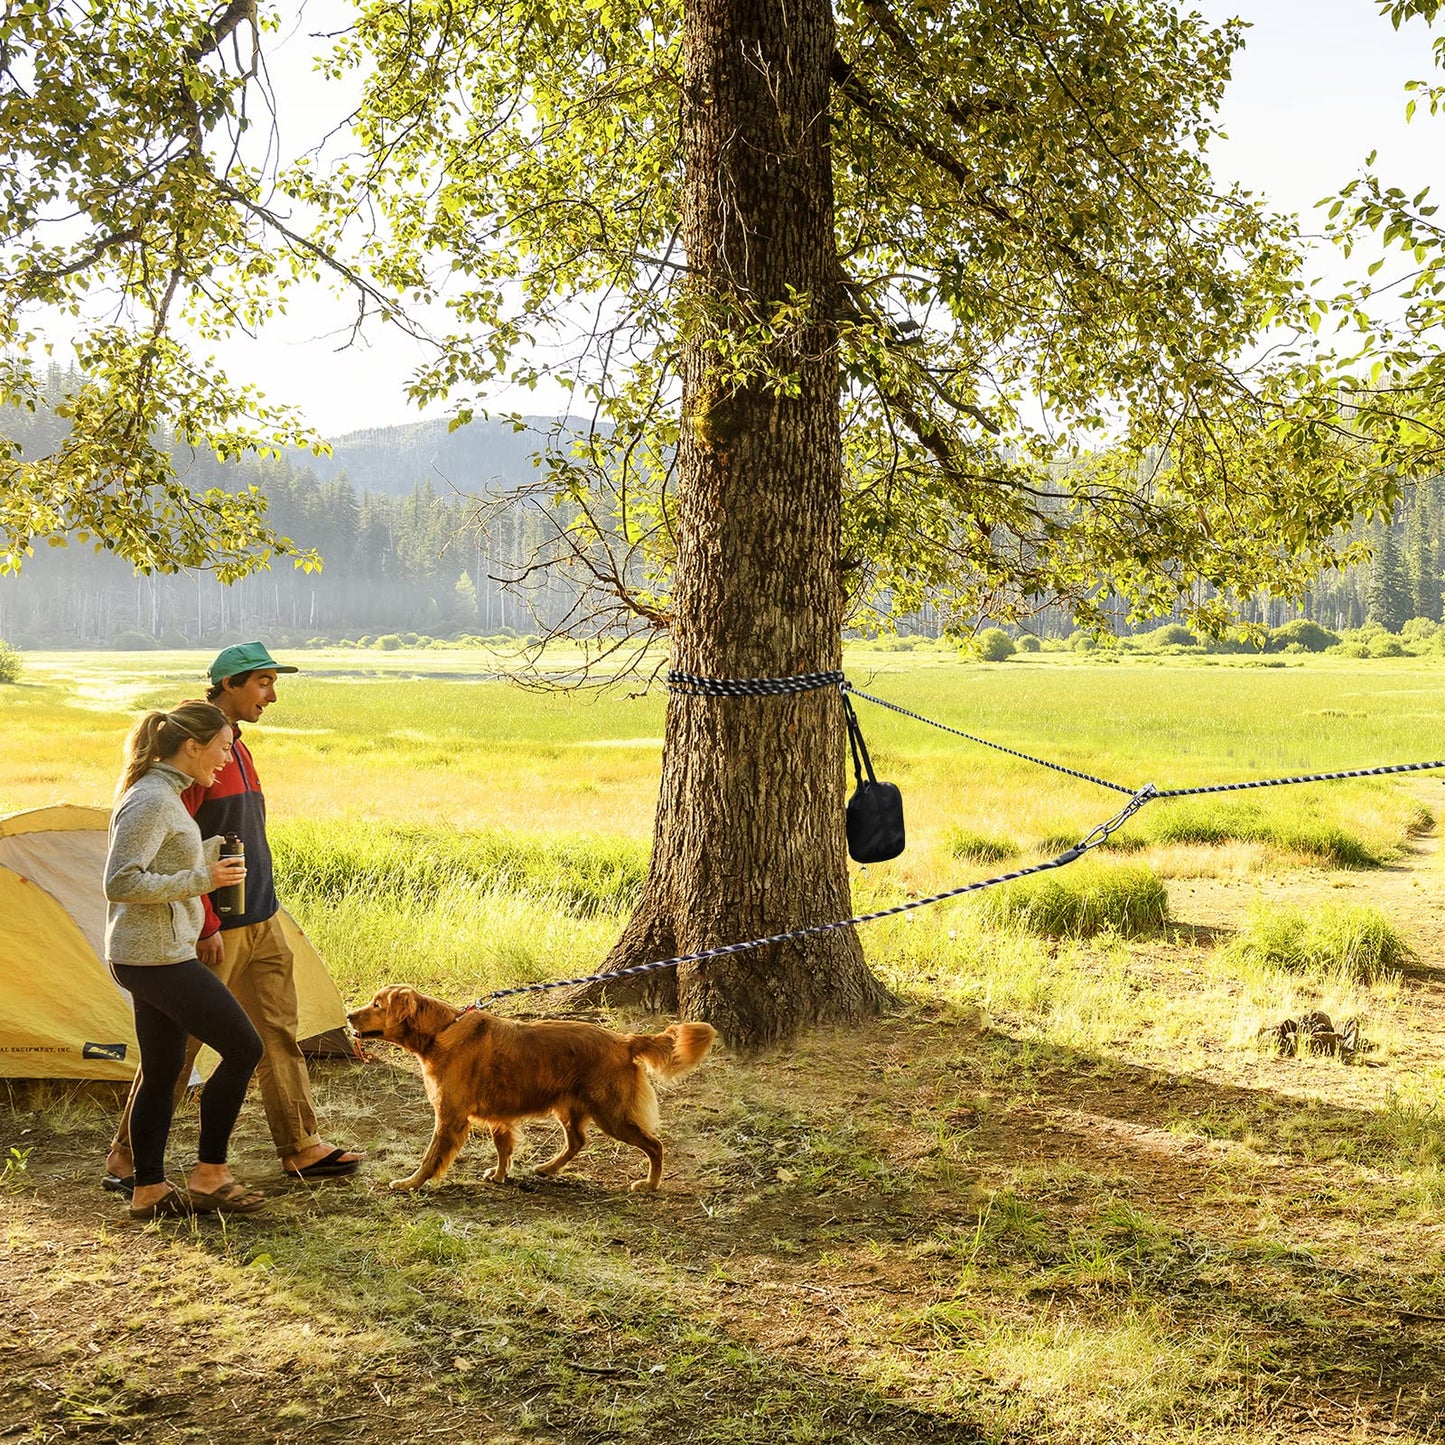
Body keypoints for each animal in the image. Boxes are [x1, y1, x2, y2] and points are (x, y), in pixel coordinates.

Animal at [345, 988, 716, 1190]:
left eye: (377, 1005)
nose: (348, 1015)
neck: (440, 1031)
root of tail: (624, 1040)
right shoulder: (498, 1117)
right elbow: (503, 1149)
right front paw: (499, 1175)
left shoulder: (450, 1117)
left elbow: (431, 1157)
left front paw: (410, 1183)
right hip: (571, 1108)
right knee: (577, 1141)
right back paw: (548, 1168)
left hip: (612, 1114)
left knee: (655, 1145)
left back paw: (651, 1183)